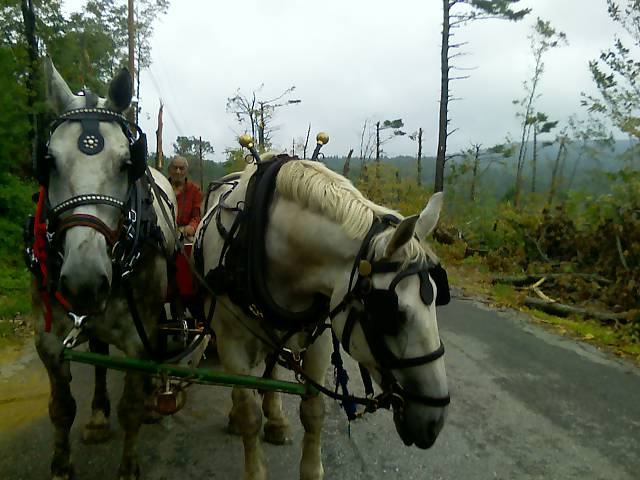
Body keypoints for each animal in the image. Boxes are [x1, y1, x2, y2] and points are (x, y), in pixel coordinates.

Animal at [33, 59, 176, 480]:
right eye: (48, 161)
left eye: (128, 163)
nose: (84, 282)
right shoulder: (47, 339)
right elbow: (61, 408)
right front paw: (61, 465)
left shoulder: (136, 336)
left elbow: (131, 407)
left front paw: (128, 466)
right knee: (97, 352)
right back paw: (98, 415)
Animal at [199, 156, 450, 478]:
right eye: (393, 313)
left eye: (438, 298)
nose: (434, 423)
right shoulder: (232, 343)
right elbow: (249, 415)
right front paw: (254, 466)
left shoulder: (318, 337)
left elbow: (313, 411)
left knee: (271, 368)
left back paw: (276, 419)